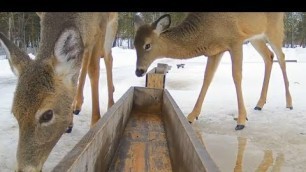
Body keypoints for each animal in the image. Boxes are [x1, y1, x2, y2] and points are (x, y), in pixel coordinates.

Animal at [0, 11, 118, 171]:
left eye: (47, 114)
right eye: (15, 113)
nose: (24, 169)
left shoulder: (101, 24)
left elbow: (94, 70)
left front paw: (95, 124)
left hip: (111, 26)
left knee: (107, 57)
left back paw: (110, 102)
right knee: (84, 58)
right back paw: (76, 106)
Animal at [133, 12, 292, 130]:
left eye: (147, 45)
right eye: (134, 44)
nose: (139, 71)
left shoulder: (235, 40)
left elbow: (236, 75)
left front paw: (241, 120)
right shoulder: (216, 50)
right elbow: (207, 78)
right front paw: (191, 116)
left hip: (274, 29)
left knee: (281, 57)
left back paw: (289, 103)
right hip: (256, 37)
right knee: (269, 57)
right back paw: (259, 103)